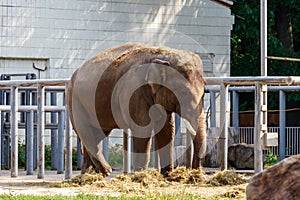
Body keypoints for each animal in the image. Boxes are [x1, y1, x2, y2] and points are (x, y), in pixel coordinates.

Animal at [66, 43, 206, 176]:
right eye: (183, 92)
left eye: (204, 93)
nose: (196, 171)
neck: (161, 55)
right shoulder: (134, 91)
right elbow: (143, 129)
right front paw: (141, 175)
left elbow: (166, 130)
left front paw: (168, 175)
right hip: (75, 101)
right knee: (85, 131)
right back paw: (106, 171)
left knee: (97, 133)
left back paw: (88, 174)